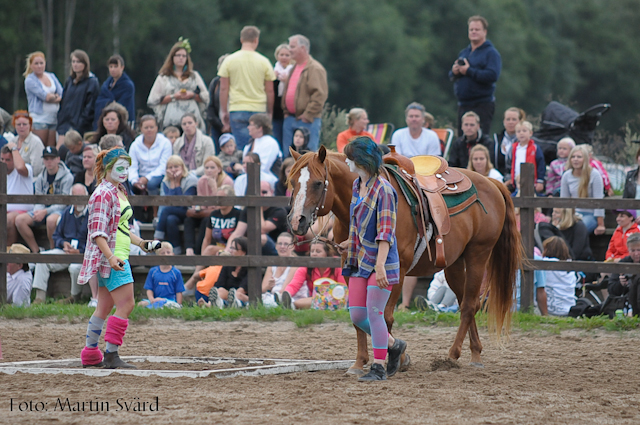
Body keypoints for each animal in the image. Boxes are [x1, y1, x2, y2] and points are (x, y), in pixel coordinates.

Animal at [288, 147, 524, 374]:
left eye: (318, 183)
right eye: (291, 182)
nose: (297, 221)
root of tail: (491, 183)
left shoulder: (396, 270)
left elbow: (386, 317)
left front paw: (393, 358)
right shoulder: (350, 267)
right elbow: (360, 317)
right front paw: (360, 362)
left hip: (478, 255)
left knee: (468, 306)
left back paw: (453, 355)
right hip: (454, 264)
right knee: (468, 302)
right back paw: (475, 354)